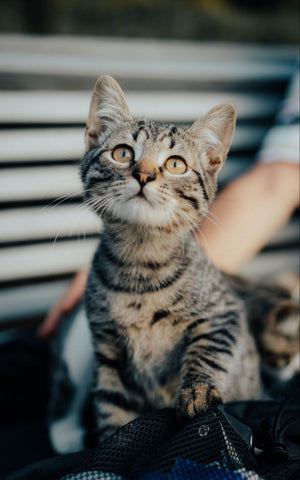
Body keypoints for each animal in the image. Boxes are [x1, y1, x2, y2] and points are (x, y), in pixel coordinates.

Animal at [81, 76, 262, 442]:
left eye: (176, 164)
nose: (144, 174)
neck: (139, 267)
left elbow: (208, 351)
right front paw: (113, 441)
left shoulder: (223, 314)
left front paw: (198, 392)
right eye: (123, 153)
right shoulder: (107, 351)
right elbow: (111, 406)